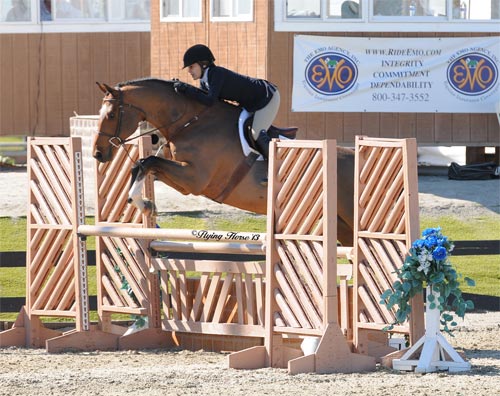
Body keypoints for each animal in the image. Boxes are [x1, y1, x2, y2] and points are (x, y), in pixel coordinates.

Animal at [91, 77, 356, 244]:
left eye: (111, 115)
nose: (97, 153)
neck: (190, 122)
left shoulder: (194, 179)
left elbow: (147, 162)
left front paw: (144, 203)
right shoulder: (185, 181)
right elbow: (143, 165)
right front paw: (145, 203)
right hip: (341, 226)